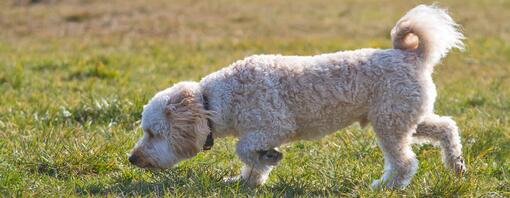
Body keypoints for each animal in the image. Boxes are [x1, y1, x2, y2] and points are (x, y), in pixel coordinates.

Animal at [128, 5, 466, 189]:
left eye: (153, 133)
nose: (132, 159)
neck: (214, 101)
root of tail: (412, 55)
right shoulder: (262, 132)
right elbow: (253, 164)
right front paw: (247, 181)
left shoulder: (274, 126)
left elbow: (244, 149)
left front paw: (268, 159)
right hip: (404, 117)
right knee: (446, 127)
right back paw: (457, 164)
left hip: (390, 124)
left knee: (405, 162)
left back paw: (385, 186)